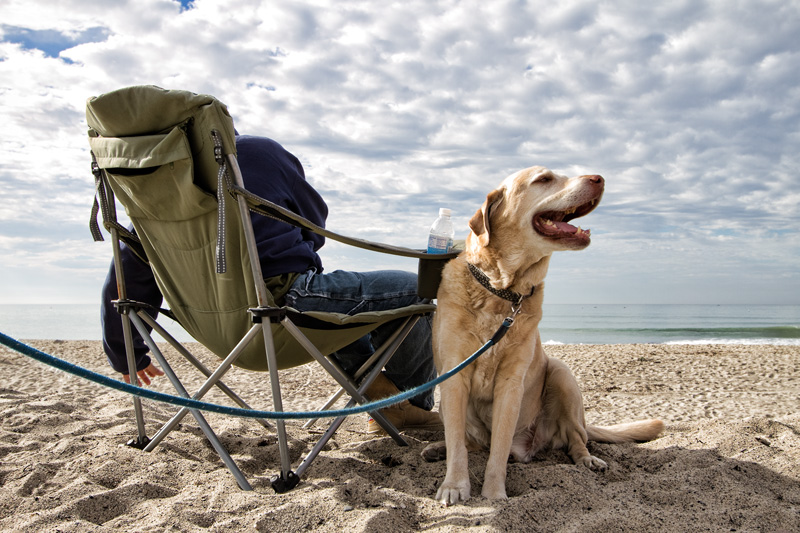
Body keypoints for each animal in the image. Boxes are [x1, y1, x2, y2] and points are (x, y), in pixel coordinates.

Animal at [422, 165, 664, 502]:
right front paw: (455, 485)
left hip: (562, 375)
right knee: (470, 443)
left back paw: (587, 459)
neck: (502, 292)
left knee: (575, 438)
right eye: (544, 179)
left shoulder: (511, 384)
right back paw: (437, 448)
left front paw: (494, 494)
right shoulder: (454, 377)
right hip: (447, 404)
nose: (599, 178)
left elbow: (498, 450)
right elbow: (459, 444)